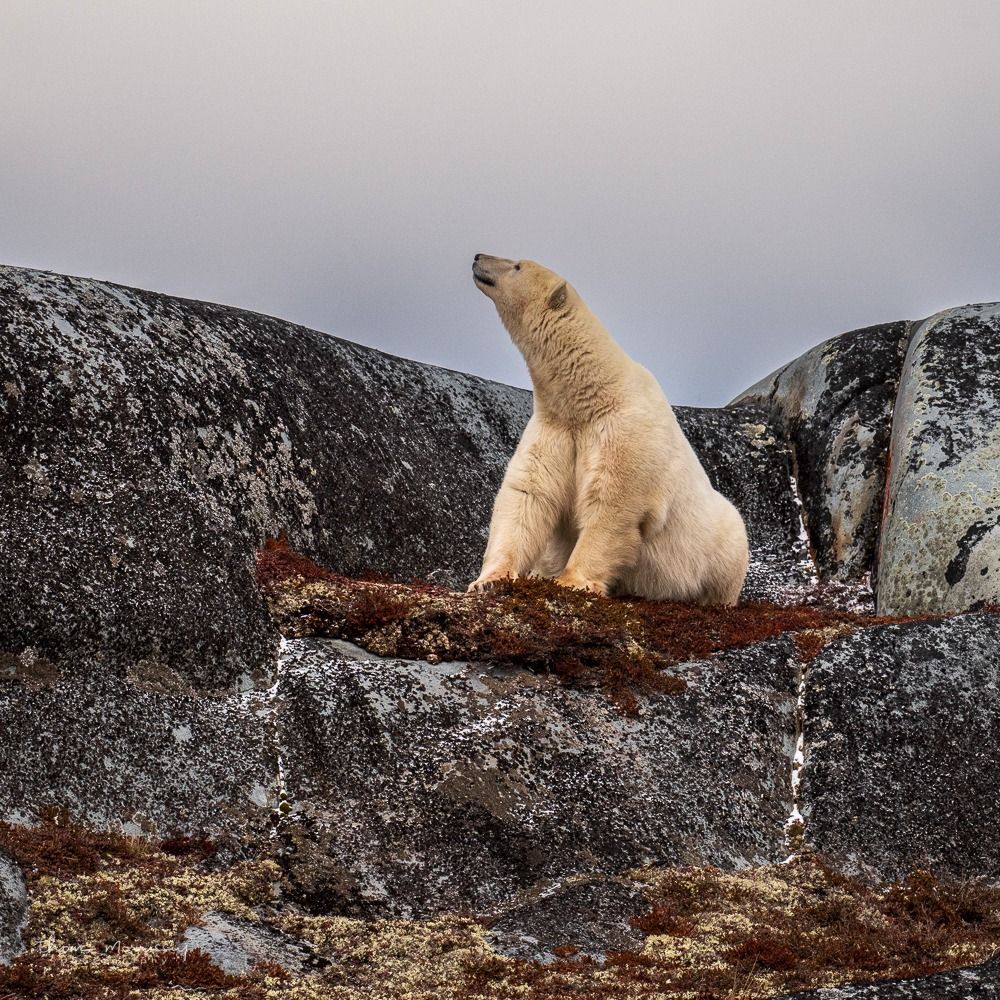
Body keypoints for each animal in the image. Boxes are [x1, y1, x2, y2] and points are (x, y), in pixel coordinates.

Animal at [472, 254, 748, 604]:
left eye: (517, 266)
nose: (478, 257)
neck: (589, 398)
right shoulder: (555, 430)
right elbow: (528, 495)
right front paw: (489, 580)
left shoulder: (624, 433)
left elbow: (611, 505)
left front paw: (572, 581)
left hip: (721, 542)